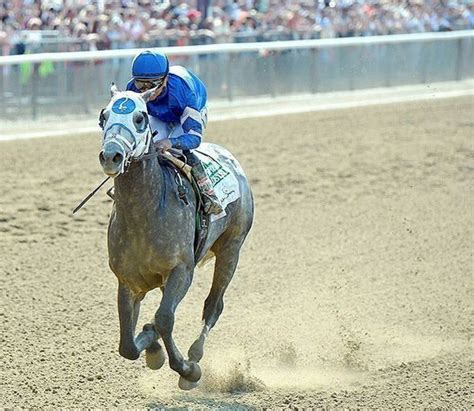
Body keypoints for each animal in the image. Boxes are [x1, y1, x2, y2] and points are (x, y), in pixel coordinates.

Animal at [97, 85, 256, 392]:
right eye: (103, 116)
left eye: (140, 118)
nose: (111, 156)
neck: (144, 215)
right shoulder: (128, 280)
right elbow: (127, 344)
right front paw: (151, 346)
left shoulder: (181, 270)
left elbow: (164, 318)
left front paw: (187, 370)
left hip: (231, 248)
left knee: (213, 306)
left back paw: (195, 353)